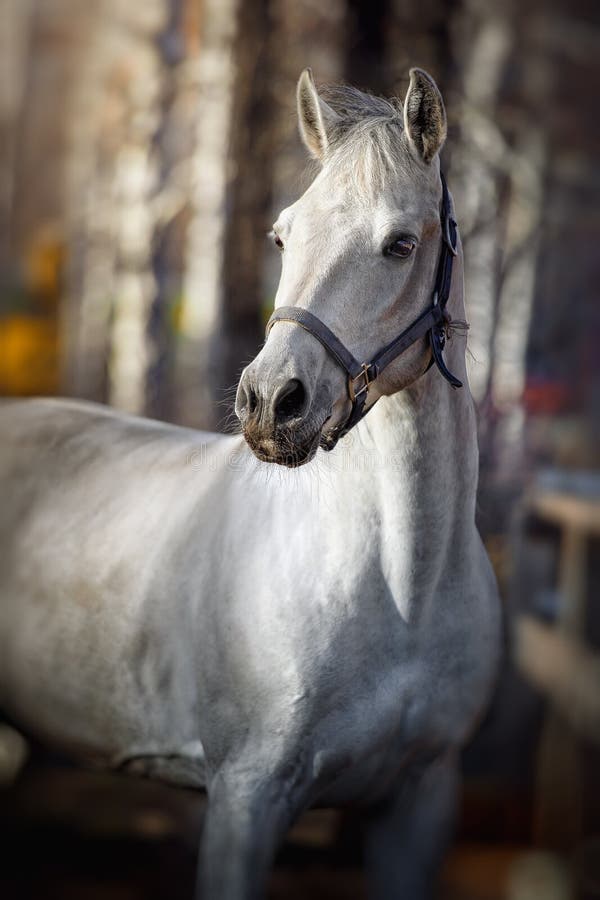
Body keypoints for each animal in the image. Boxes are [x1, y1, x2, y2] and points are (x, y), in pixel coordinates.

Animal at [0, 70, 502, 900]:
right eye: (282, 237)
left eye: (401, 244)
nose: (271, 402)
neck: (405, 590)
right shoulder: (248, 795)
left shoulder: (417, 801)